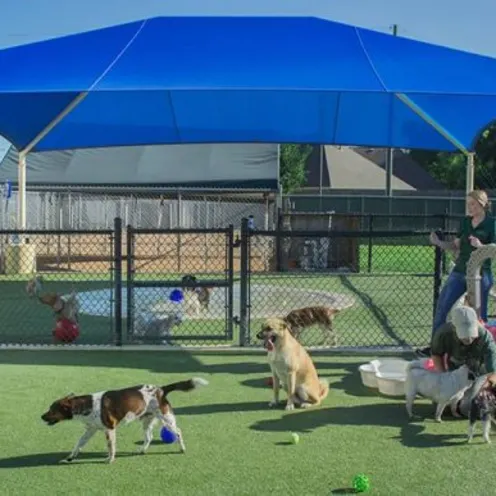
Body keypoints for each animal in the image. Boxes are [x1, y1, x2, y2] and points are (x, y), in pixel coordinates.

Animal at [39, 378, 207, 464]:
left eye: (52, 410)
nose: (41, 417)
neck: (87, 405)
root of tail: (161, 389)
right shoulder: (90, 430)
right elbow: (78, 444)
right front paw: (70, 458)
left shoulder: (109, 429)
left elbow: (111, 447)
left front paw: (110, 459)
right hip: (147, 420)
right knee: (149, 437)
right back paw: (142, 451)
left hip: (166, 419)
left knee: (178, 432)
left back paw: (182, 448)